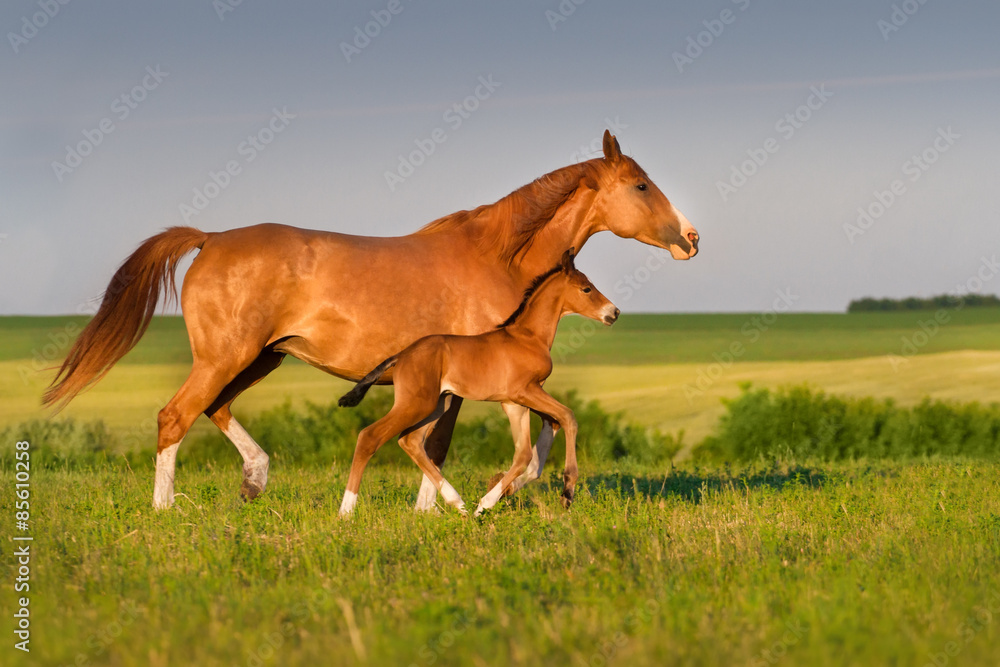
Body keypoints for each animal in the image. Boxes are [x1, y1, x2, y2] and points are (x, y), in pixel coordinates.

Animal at [337, 248, 618, 517]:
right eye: (586, 288)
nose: (614, 312)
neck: (528, 337)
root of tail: (402, 355)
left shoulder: (514, 403)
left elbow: (524, 454)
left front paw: (485, 504)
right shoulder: (525, 391)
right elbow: (568, 417)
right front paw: (567, 493)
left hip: (437, 404)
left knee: (410, 441)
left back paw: (458, 503)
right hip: (416, 404)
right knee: (370, 436)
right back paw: (346, 513)